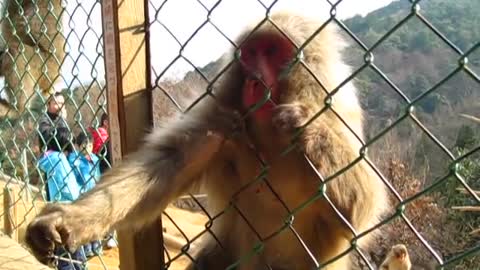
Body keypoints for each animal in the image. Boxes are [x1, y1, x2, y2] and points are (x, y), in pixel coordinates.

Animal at [23, 11, 390, 268]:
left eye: (272, 50)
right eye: (251, 52)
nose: (254, 78)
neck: (268, 135)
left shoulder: (338, 111)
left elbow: (357, 211)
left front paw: (302, 125)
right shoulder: (221, 115)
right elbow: (168, 164)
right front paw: (67, 220)